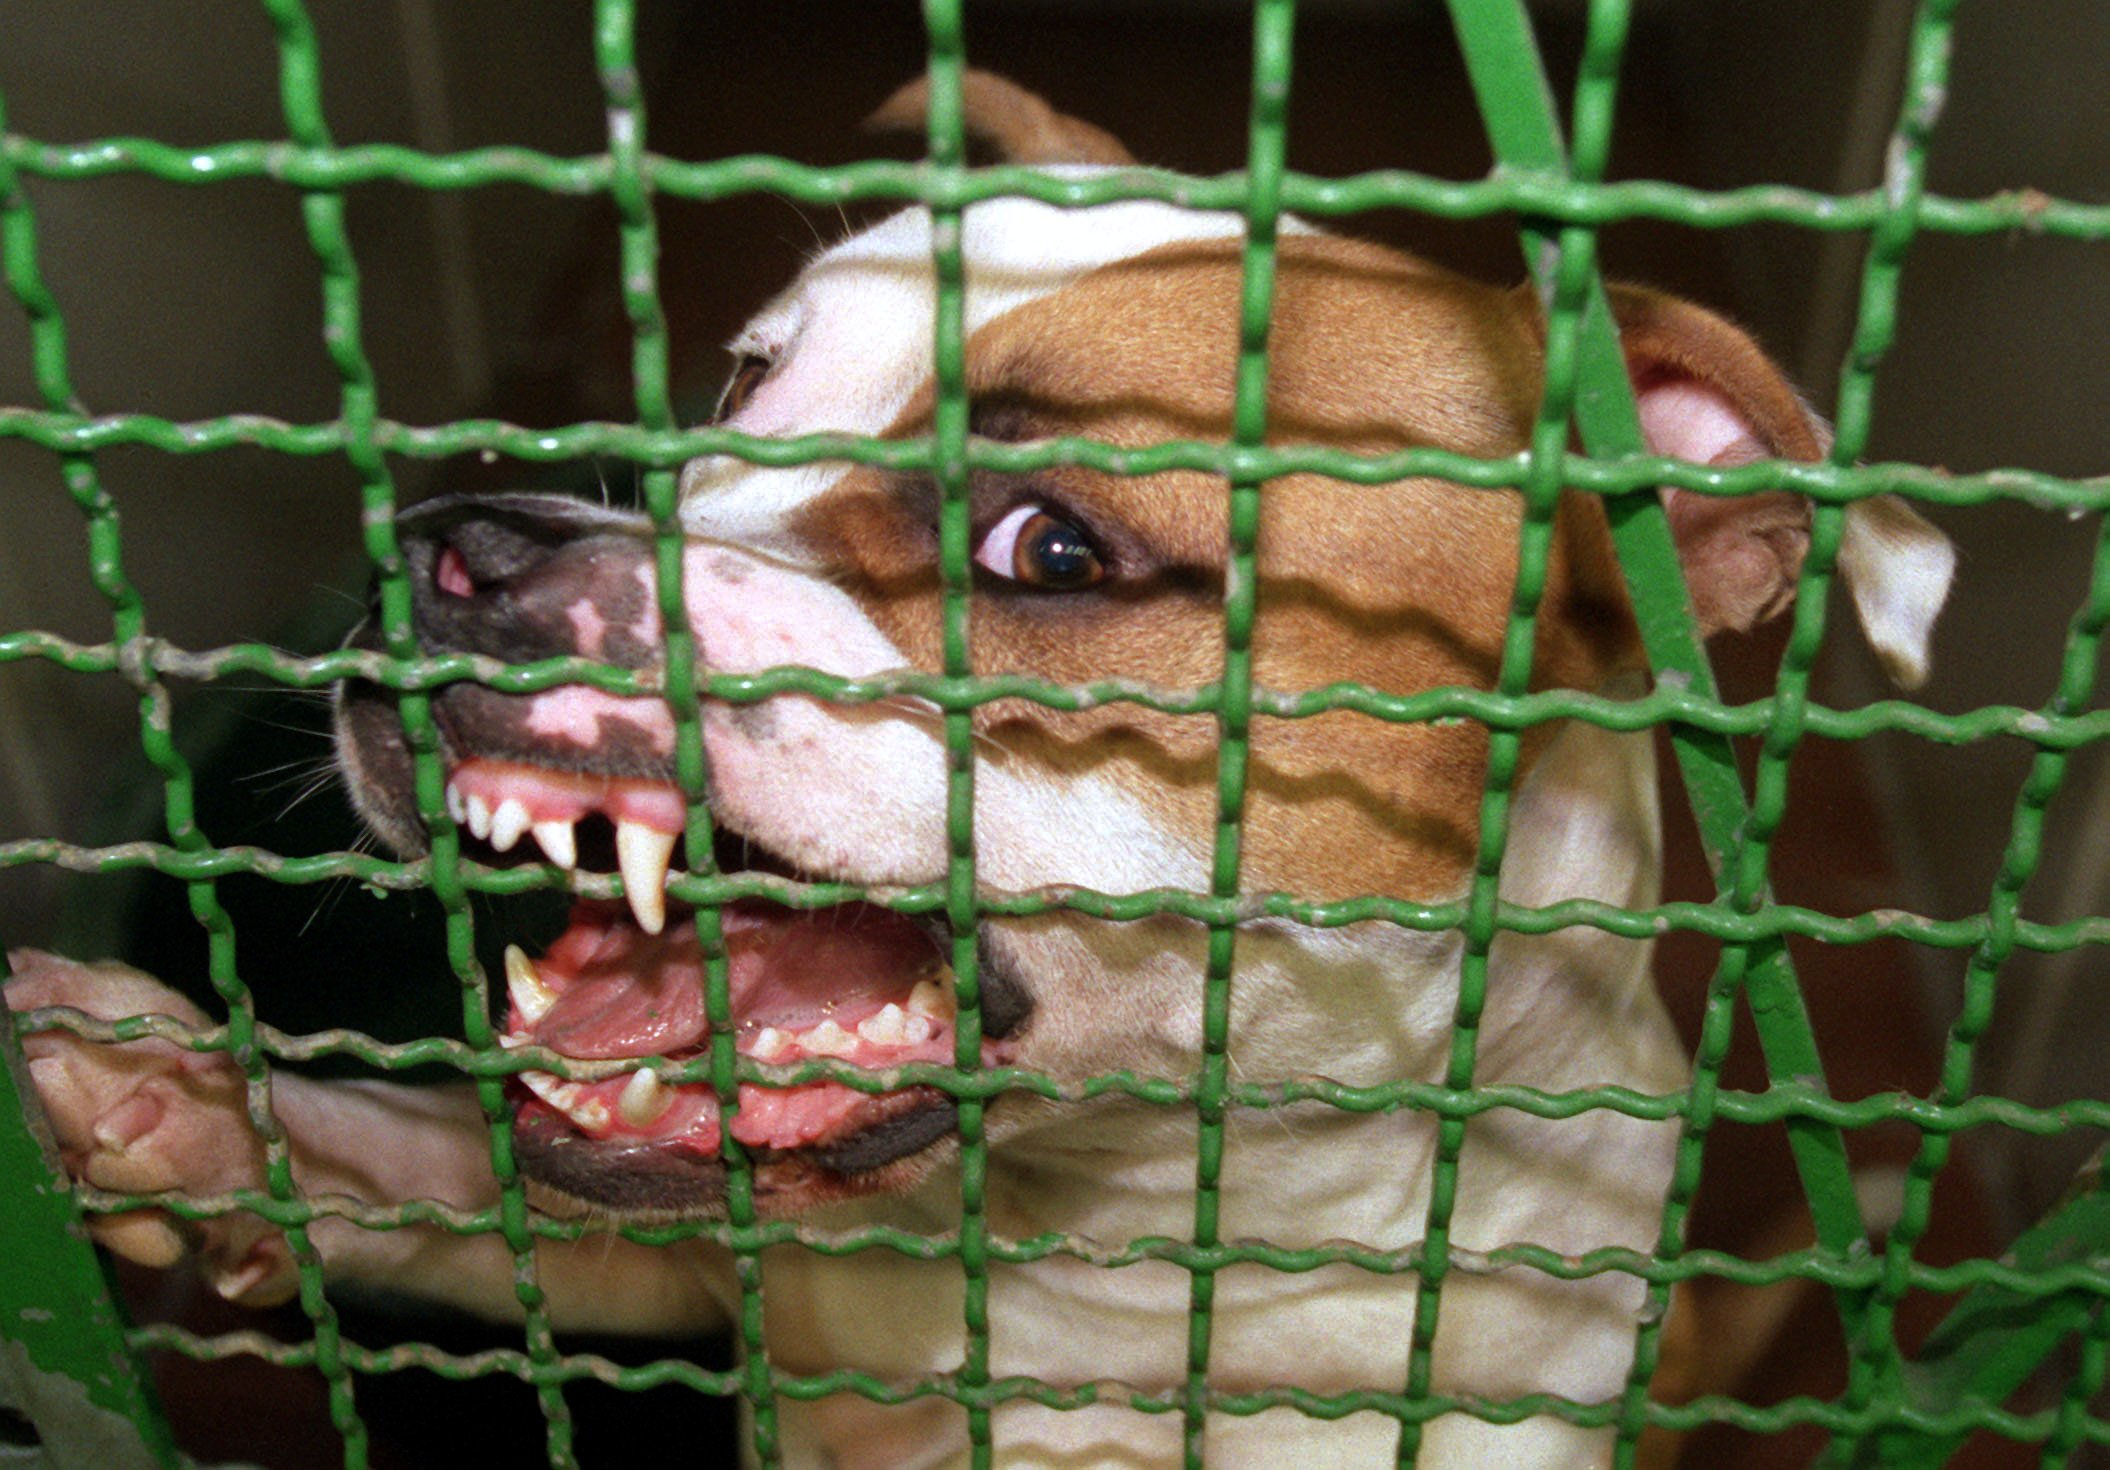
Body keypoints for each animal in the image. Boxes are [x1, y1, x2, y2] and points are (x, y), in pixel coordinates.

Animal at [0, 71, 1949, 1467]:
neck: (1097, 1245)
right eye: (740, 384)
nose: (455, 557)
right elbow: (448, 1170)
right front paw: (186, 1104)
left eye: (1050, 550)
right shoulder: (686, 1263)